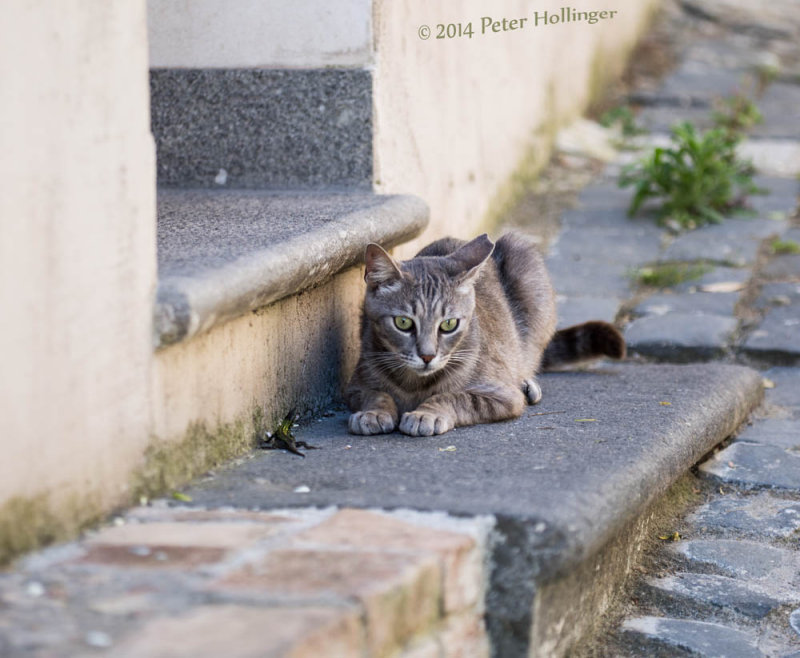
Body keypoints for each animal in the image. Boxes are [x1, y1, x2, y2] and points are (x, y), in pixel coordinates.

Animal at [344, 232, 624, 436]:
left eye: (449, 324)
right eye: (403, 323)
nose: (427, 356)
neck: (414, 384)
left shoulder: (503, 395)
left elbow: (456, 397)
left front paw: (427, 413)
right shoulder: (354, 385)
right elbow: (375, 393)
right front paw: (374, 412)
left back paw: (527, 381)